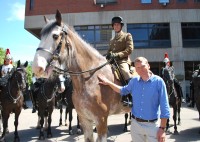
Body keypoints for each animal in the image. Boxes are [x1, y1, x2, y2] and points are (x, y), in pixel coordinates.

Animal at [31, 9, 131, 141]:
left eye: (55, 36)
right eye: (41, 36)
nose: (36, 67)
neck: (90, 79)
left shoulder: (101, 121)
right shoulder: (85, 120)